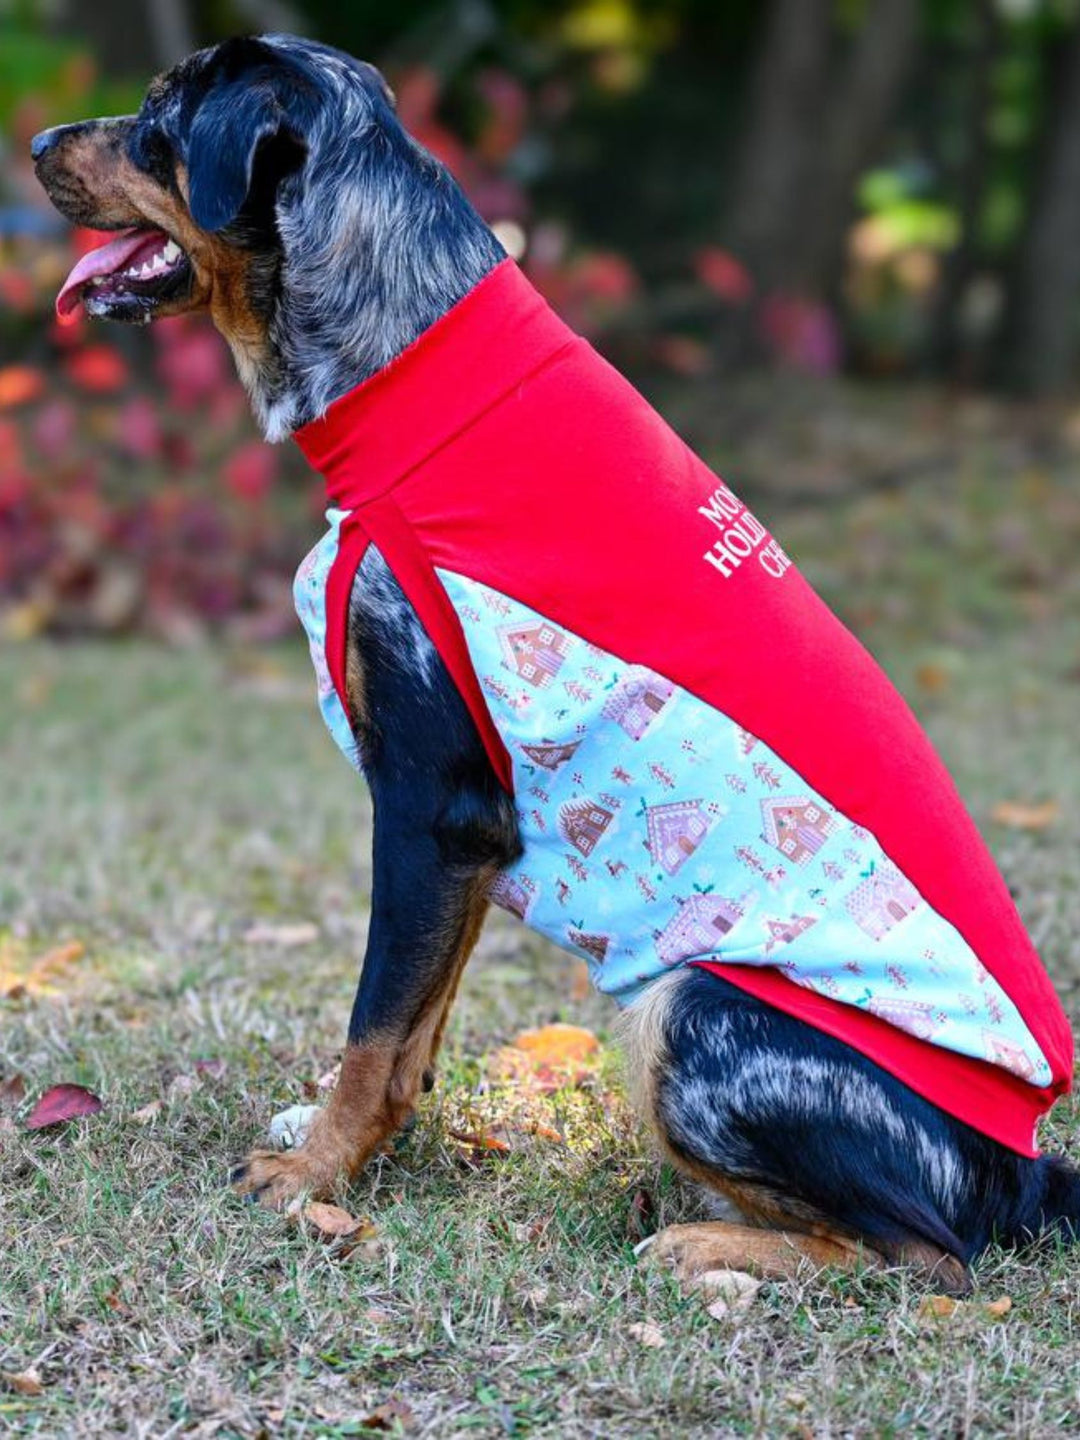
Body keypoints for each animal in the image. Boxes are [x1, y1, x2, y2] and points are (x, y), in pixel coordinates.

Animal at [33, 36, 1080, 1296]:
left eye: (156, 120)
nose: (34, 144)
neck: (408, 366)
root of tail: (1021, 1169)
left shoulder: (431, 806)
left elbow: (373, 1029)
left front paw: (312, 1177)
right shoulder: (476, 833)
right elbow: (413, 1028)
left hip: (697, 1008)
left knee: (927, 1255)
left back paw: (707, 1243)